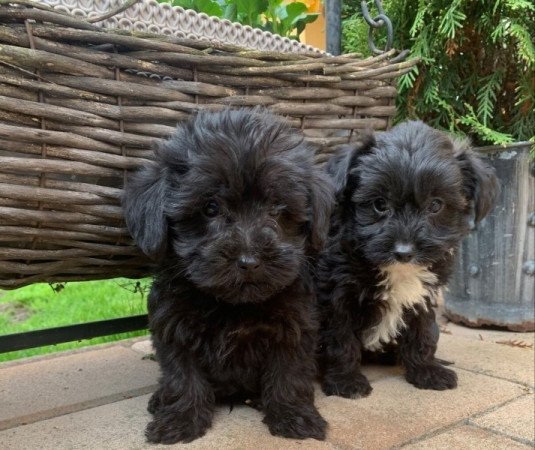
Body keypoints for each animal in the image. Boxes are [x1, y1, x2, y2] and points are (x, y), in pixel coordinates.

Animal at [123, 108, 338, 442]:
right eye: (210, 208)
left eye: (276, 210)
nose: (249, 261)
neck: (232, 306)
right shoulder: (173, 327)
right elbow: (182, 376)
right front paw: (180, 420)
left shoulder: (295, 326)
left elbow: (289, 373)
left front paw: (294, 415)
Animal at [316, 119, 500, 398]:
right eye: (380, 204)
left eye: (435, 205)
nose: (404, 252)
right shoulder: (336, 296)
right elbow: (340, 338)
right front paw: (345, 380)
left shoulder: (422, 296)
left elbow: (422, 332)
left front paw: (426, 370)